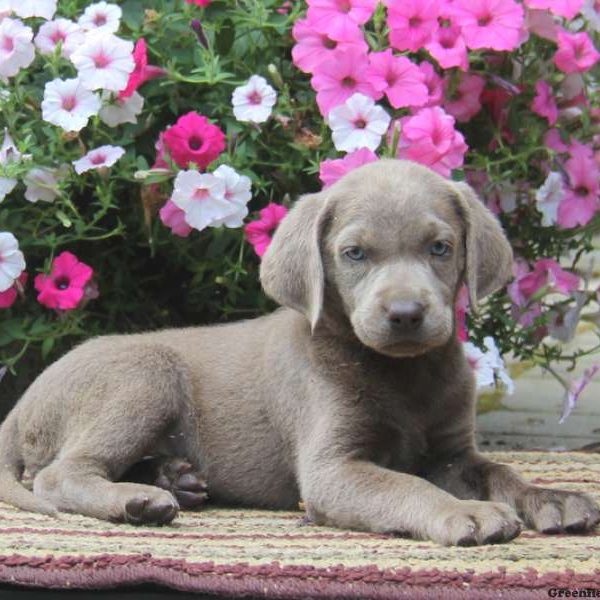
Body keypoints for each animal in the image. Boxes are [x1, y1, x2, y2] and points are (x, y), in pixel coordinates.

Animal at [1, 159, 600, 544]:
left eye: (440, 247)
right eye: (354, 253)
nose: (406, 314)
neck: (402, 375)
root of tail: (20, 405)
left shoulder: (453, 452)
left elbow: (502, 471)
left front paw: (549, 496)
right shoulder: (332, 469)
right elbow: (404, 483)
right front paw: (464, 512)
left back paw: (171, 477)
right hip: (143, 373)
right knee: (59, 475)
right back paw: (140, 500)